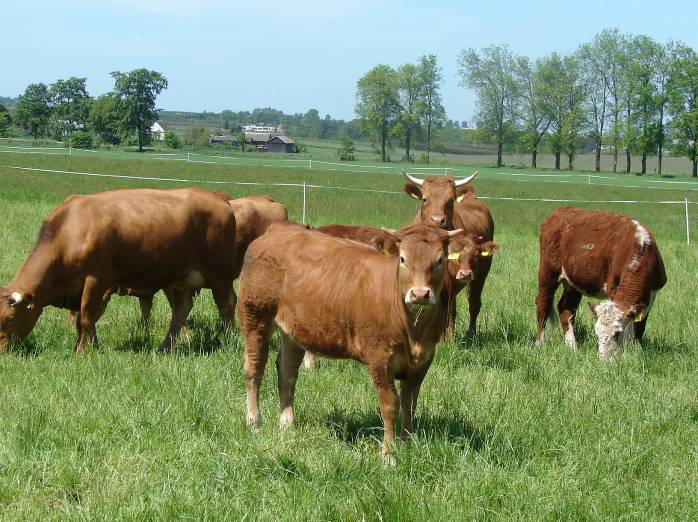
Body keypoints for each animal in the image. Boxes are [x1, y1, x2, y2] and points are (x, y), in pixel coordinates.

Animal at [0, 187, 238, 350]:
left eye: (10, 319)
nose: (3, 351)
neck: (69, 230)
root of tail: (219, 199)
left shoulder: (96, 280)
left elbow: (85, 317)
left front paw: (81, 351)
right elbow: (86, 320)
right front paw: (93, 346)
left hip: (221, 277)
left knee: (227, 306)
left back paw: (227, 340)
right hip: (181, 280)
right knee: (181, 311)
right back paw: (165, 347)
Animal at [235, 221, 462, 462]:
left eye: (440, 260)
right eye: (402, 259)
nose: (419, 294)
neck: (413, 330)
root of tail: (277, 230)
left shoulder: (424, 361)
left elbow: (410, 403)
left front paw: (406, 443)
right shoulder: (379, 358)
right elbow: (390, 405)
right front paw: (388, 455)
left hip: (292, 331)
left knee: (287, 373)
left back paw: (287, 424)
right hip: (255, 315)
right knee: (254, 368)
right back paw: (254, 422)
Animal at [400, 171, 492, 334]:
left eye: (450, 201)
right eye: (425, 199)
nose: (437, 220)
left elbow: (448, 310)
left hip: (481, 273)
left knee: (473, 303)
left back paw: (470, 333)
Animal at [536, 207, 668, 358]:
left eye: (617, 334)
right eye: (597, 332)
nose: (603, 359)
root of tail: (560, 211)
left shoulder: (652, 293)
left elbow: (640, 325)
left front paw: (636, 351)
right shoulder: (613, 288)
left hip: (573, 282)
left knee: (566, 308)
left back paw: (572, 348)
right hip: (548, 272)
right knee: (543, 304)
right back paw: (540, 344)